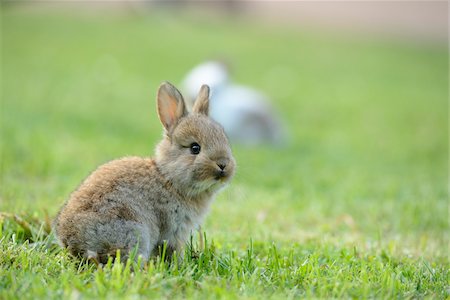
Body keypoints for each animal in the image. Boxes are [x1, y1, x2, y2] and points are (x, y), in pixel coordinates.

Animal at [52, 81, 236, 264]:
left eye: (224, 140)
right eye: (195, 148)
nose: (223, 165)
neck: (169, 178)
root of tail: (73, 241)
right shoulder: (173, 230)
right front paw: (179, 264)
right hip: (134, 232)